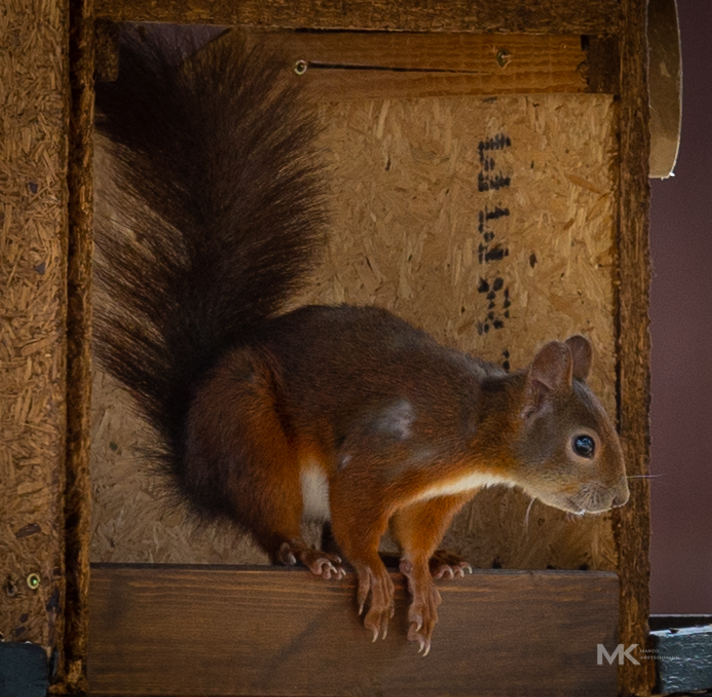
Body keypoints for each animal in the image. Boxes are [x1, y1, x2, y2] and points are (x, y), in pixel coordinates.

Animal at [94, 30, 630, 655]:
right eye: (583, 444)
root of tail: (192, 451)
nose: (619, 499)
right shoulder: (381, 454)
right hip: (251, 436)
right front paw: (374, 571)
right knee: (275, 524)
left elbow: (415, 538)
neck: (475, 431)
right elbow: (357, 518)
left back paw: (433, 561)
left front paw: (420, 571)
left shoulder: (429, 500)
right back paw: (305, 553)